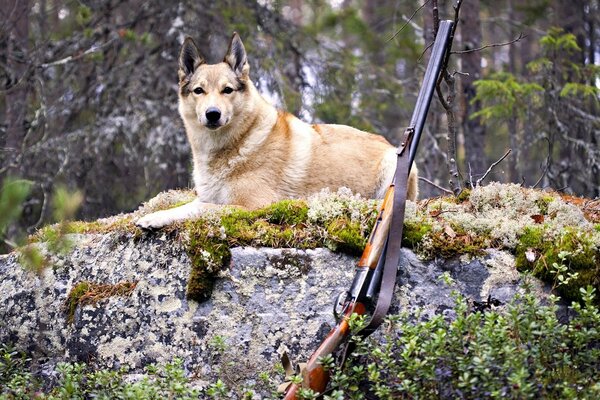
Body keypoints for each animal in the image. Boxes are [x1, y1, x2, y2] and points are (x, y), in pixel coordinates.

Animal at [136, 32, 418, 230]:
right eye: (199, 91)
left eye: (227, 90)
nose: (212, 114)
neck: (238, 144)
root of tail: (388, 143)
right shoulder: (206, 196)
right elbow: (185, 207)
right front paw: (154, 217)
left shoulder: (251, 206)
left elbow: (205, 210)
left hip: (392, 167)